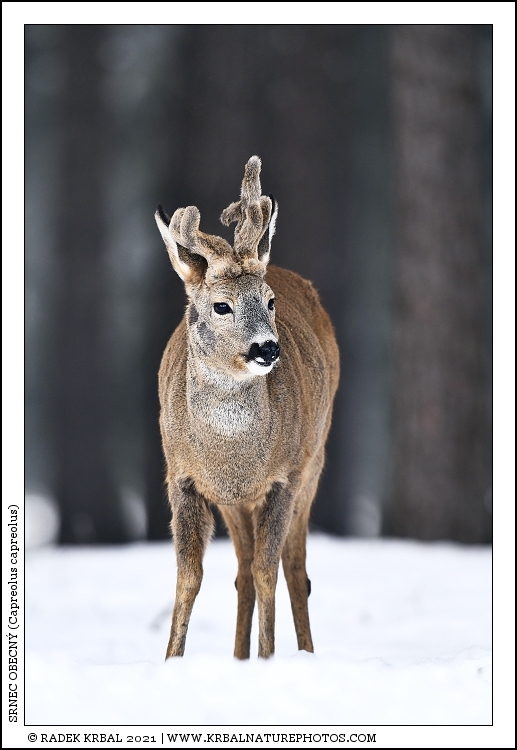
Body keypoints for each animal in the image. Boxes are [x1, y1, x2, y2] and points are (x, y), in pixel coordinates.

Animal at [154, 156, 339, 660]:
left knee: (294, 569)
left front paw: (267, 657)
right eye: (222, 306)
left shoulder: (283, 478)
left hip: (313, 461)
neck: (231, 455)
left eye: (270, 302)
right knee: (241, 573)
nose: (267, 349)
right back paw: (236, 659)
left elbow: (267, 572)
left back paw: (305, 654)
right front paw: (171, 660)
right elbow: (189, 577)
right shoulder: (183, 477)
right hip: (235, 503)